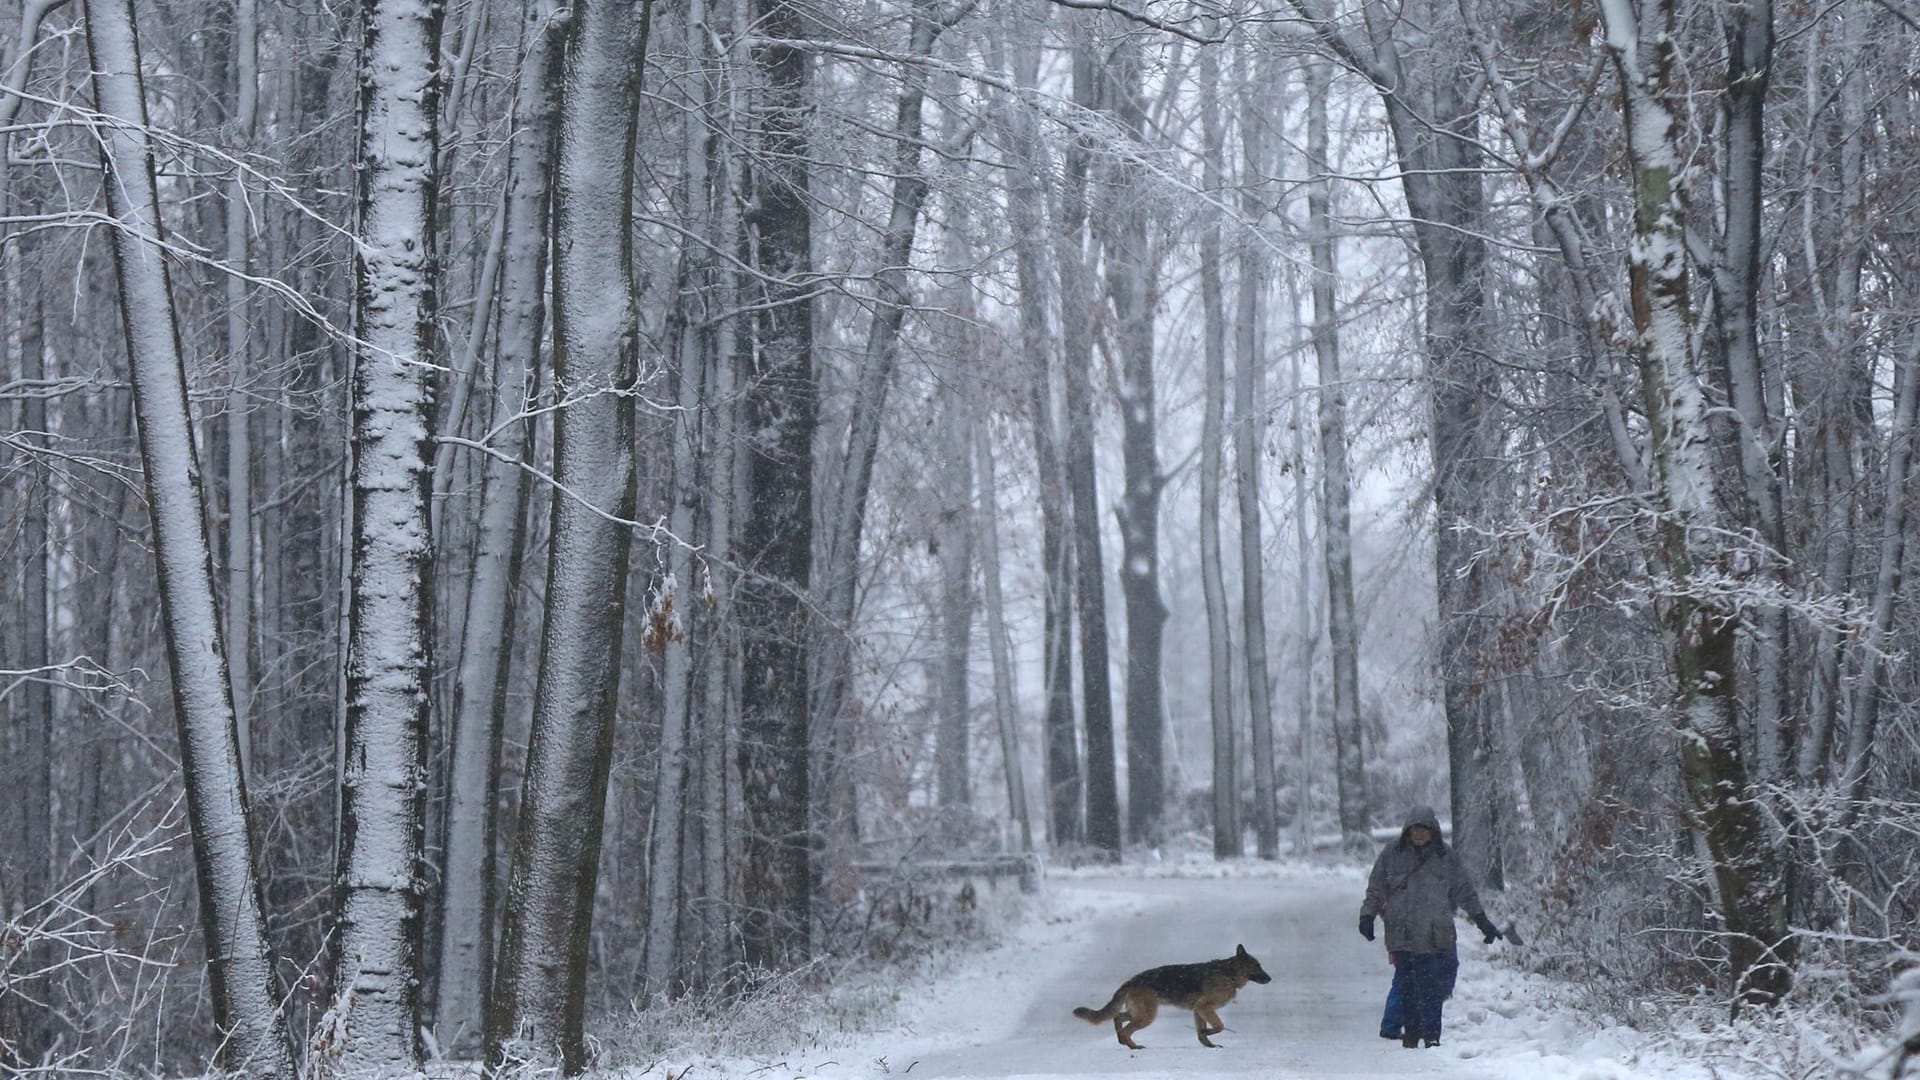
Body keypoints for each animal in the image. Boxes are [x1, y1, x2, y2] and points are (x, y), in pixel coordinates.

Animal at [1075, 941, 1267, 1045]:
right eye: (1258, 966)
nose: (1270, 978)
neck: (1229, 973)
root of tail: (1131, 981)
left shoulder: (1199, 1010)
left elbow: (1202, 1032)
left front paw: (1208, 1044)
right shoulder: (1204, 1007)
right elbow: (1218, 1026)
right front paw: (1208, 1034)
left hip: (1140, 1012)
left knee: (1118, 1017)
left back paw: (1123, 1041)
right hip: (1147, 1015)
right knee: (1125, 1029)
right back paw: (1134, 1047)